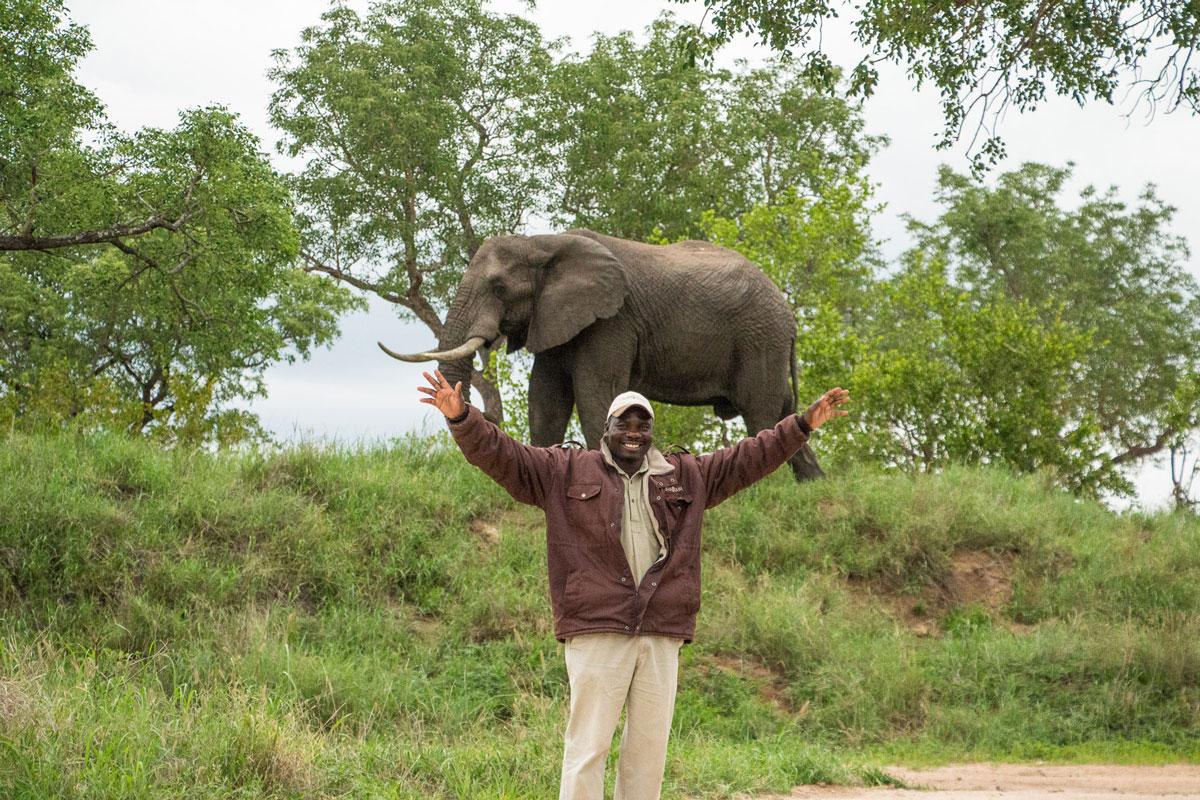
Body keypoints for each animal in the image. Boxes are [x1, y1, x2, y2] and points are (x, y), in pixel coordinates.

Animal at [382, 229, 824, 481]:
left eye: (498, 287)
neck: (542, 243)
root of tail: (789, 313)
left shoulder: (612, 319)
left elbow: (596, 391)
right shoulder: (556, 317)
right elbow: (545, 395)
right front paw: (543, 461)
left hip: (759, 338)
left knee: (761, 411)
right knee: (784, 409)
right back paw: (814, 483)